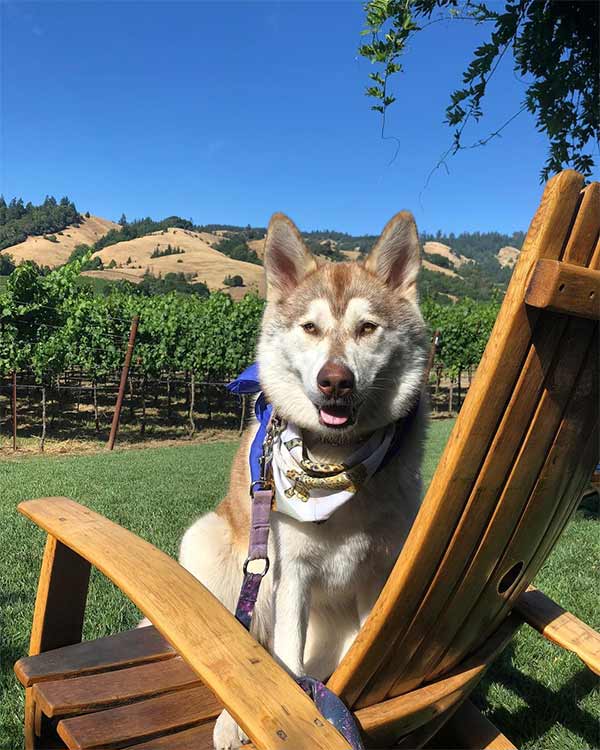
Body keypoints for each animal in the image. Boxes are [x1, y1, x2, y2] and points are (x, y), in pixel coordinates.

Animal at [180, 209, 428, 748]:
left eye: (367, 328)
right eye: (310, 327)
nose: (335, 380)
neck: (335, 464)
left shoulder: (378, 574)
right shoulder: (290, 574)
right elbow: (281, 659)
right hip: (211, 546)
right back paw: (231, 720)